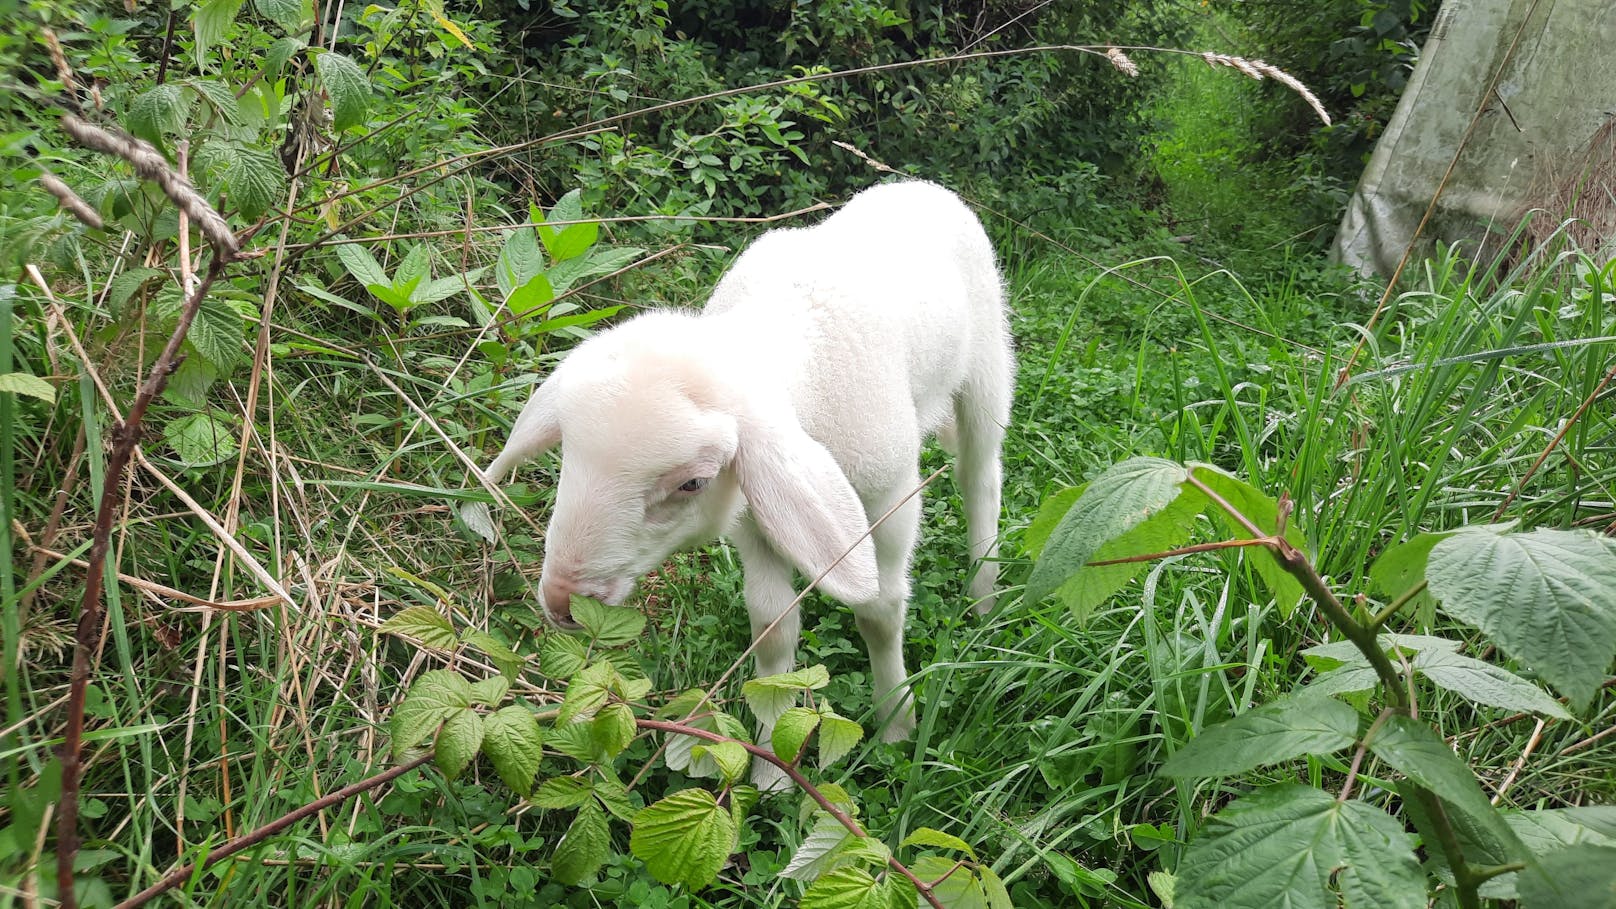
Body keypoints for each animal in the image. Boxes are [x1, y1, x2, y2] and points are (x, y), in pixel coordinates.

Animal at [465, 180, 1008, 776]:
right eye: (569, 453)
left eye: (691, 483)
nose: (562, 602)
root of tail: (916, 184)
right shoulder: (755, 511)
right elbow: (771, 628)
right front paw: (773, 767)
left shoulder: (890, 495)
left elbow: (880, 610)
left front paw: (896, 724)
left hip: (989, 361)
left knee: (980, 476)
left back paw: (984, 596)